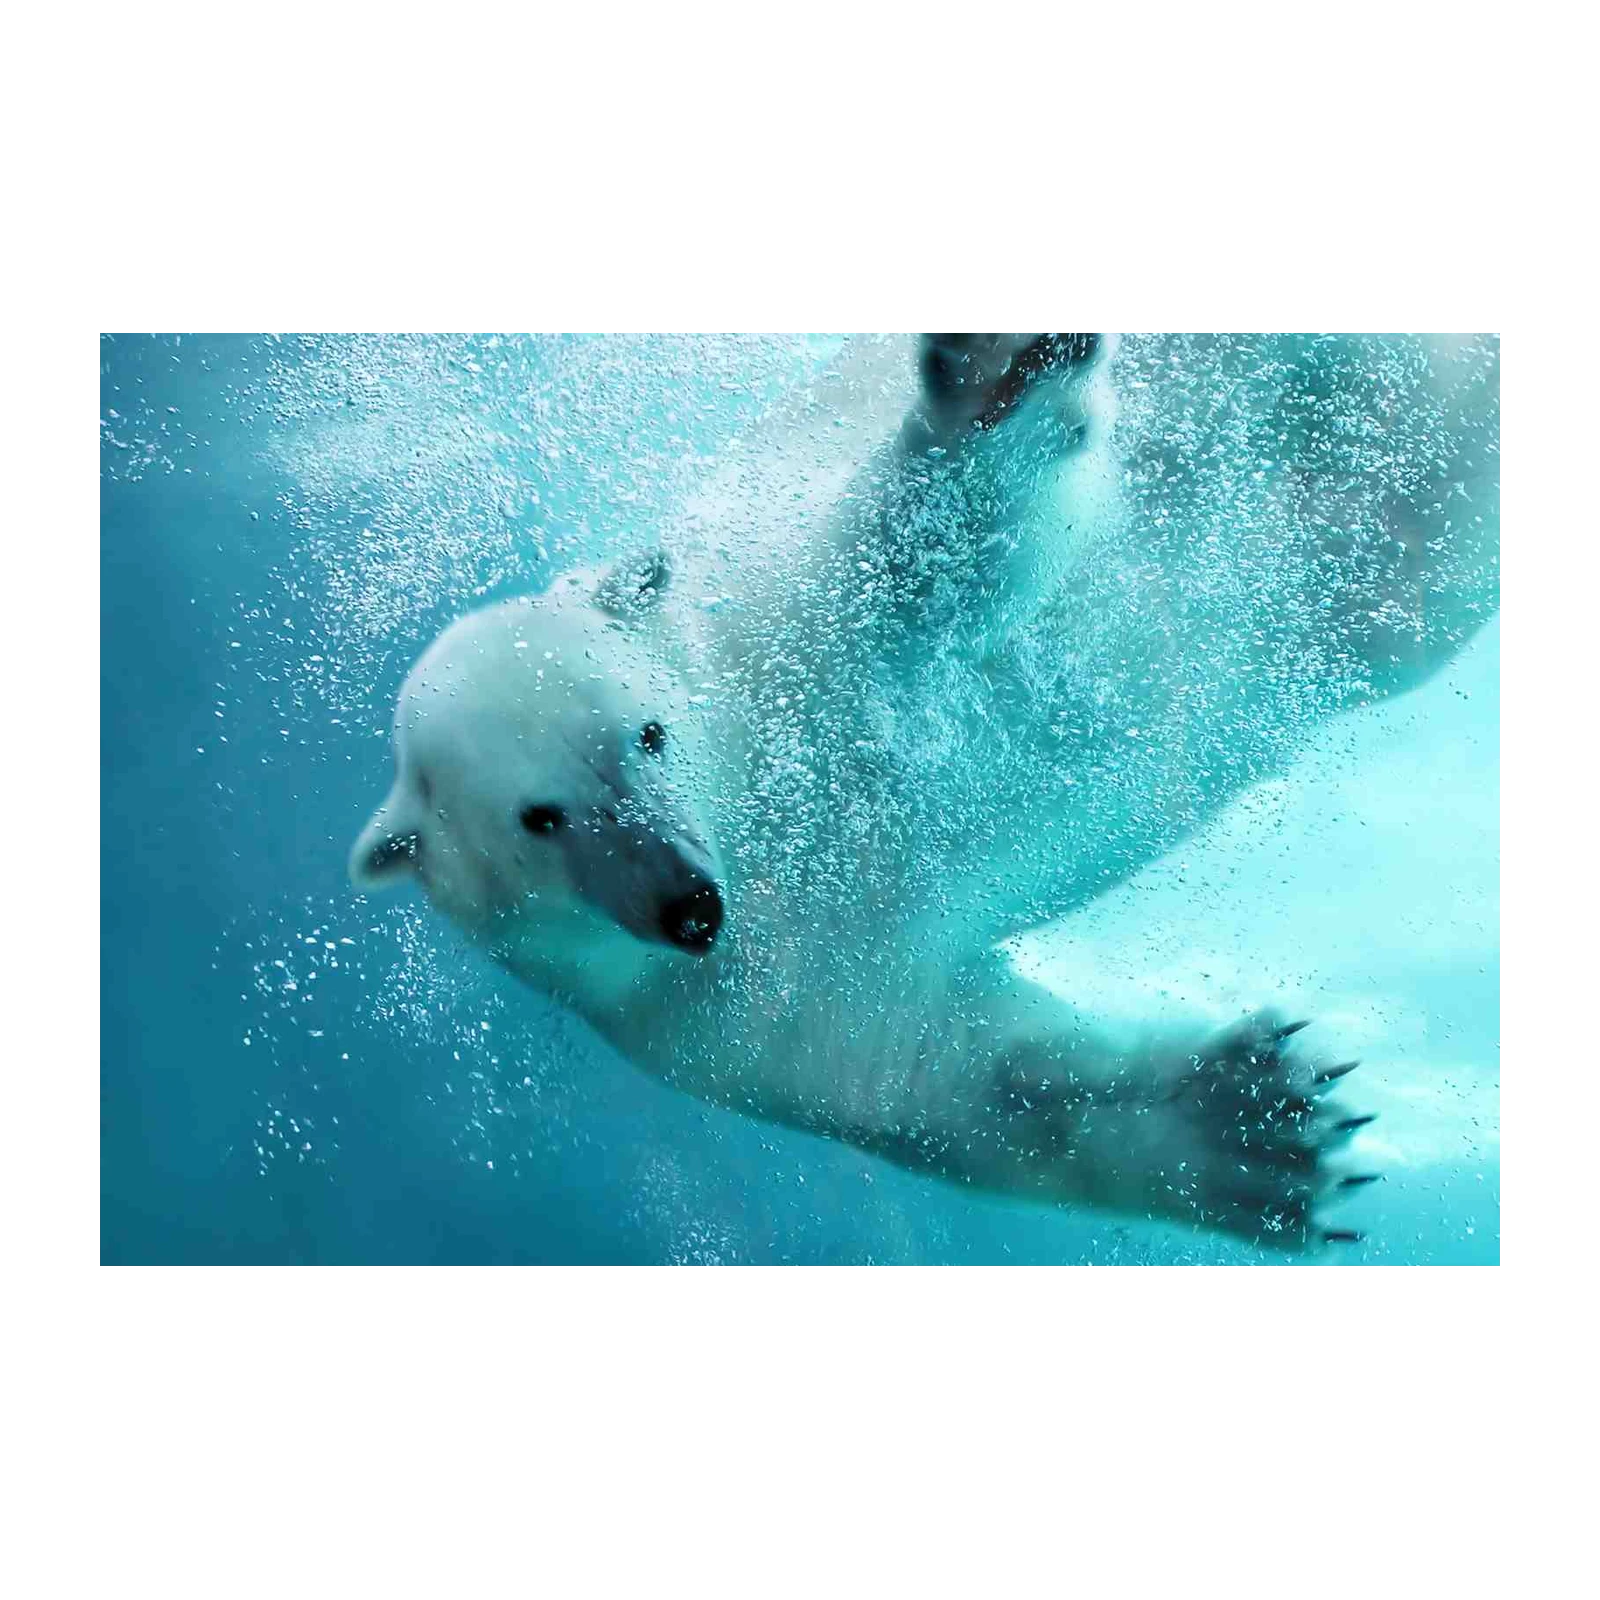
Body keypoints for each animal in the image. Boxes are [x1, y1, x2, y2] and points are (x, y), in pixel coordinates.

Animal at [350, 327, 1502, 1251]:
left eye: (648, 733)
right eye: (539, 819)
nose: (690, 906)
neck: (758, 809)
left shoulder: (792, 626)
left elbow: (940, 550)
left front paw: (993, 371)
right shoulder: (722, 1017)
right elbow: (956, 1078)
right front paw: (1262, 1129)